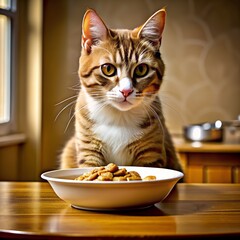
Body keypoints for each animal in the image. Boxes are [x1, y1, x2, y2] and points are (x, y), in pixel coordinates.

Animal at [59, 7, 182, 172]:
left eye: (141, 69)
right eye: (108, 69)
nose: (126, 91)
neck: (119, 119)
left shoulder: (151, 154)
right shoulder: (88, 150)